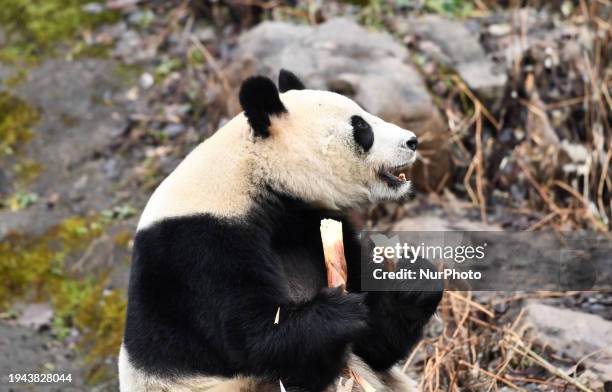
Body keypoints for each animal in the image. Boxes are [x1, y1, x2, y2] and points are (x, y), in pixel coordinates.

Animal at [119, 69, 442, 390]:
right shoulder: (198, 250)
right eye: (360, 126)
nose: (412, 141)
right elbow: (256, 339)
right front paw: (338, 311)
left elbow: (374, 344)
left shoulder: (309, 224)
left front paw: (413, 280)